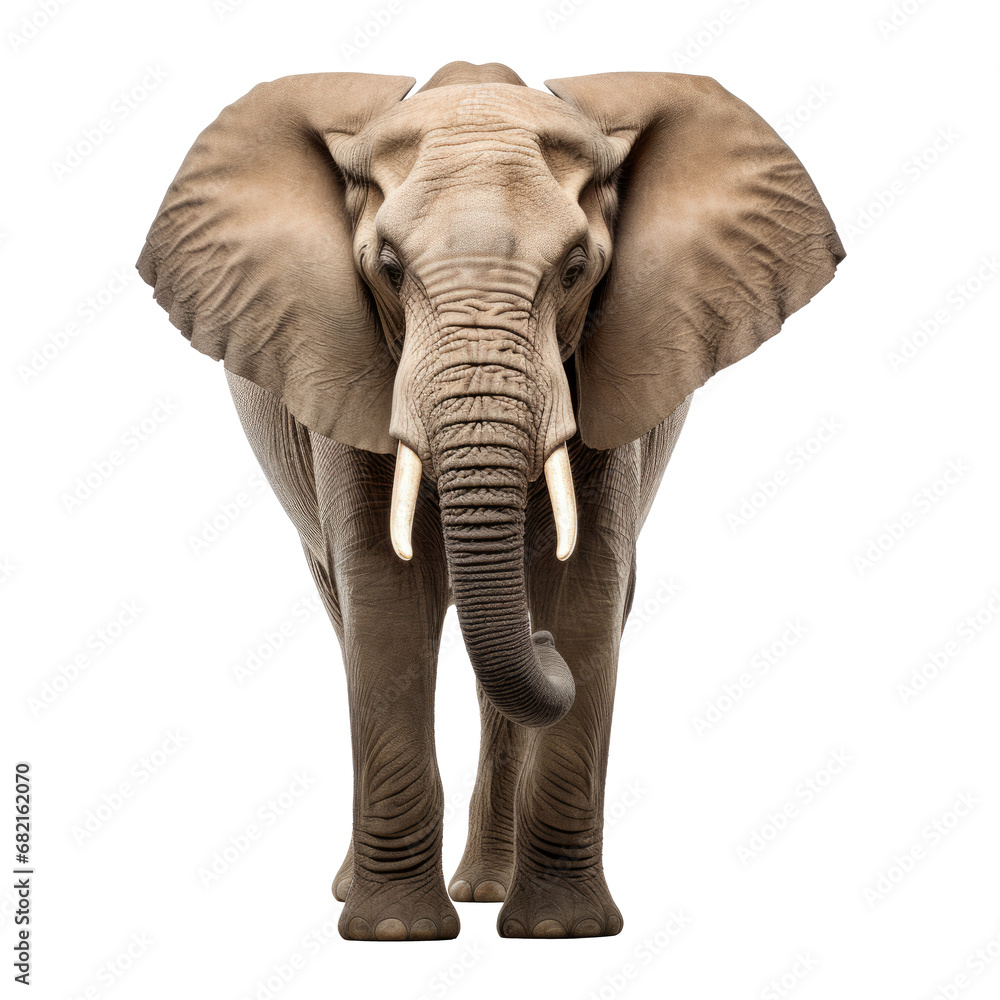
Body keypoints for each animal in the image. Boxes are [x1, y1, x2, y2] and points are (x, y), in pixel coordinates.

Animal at [137, 60, 844, 941]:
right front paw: (394, 934)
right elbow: (384, 605)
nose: (536, 642)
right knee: (346, 618)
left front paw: (562, 932)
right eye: (387, 267)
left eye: (576, 268)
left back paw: (488, 889)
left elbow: (588, 594)